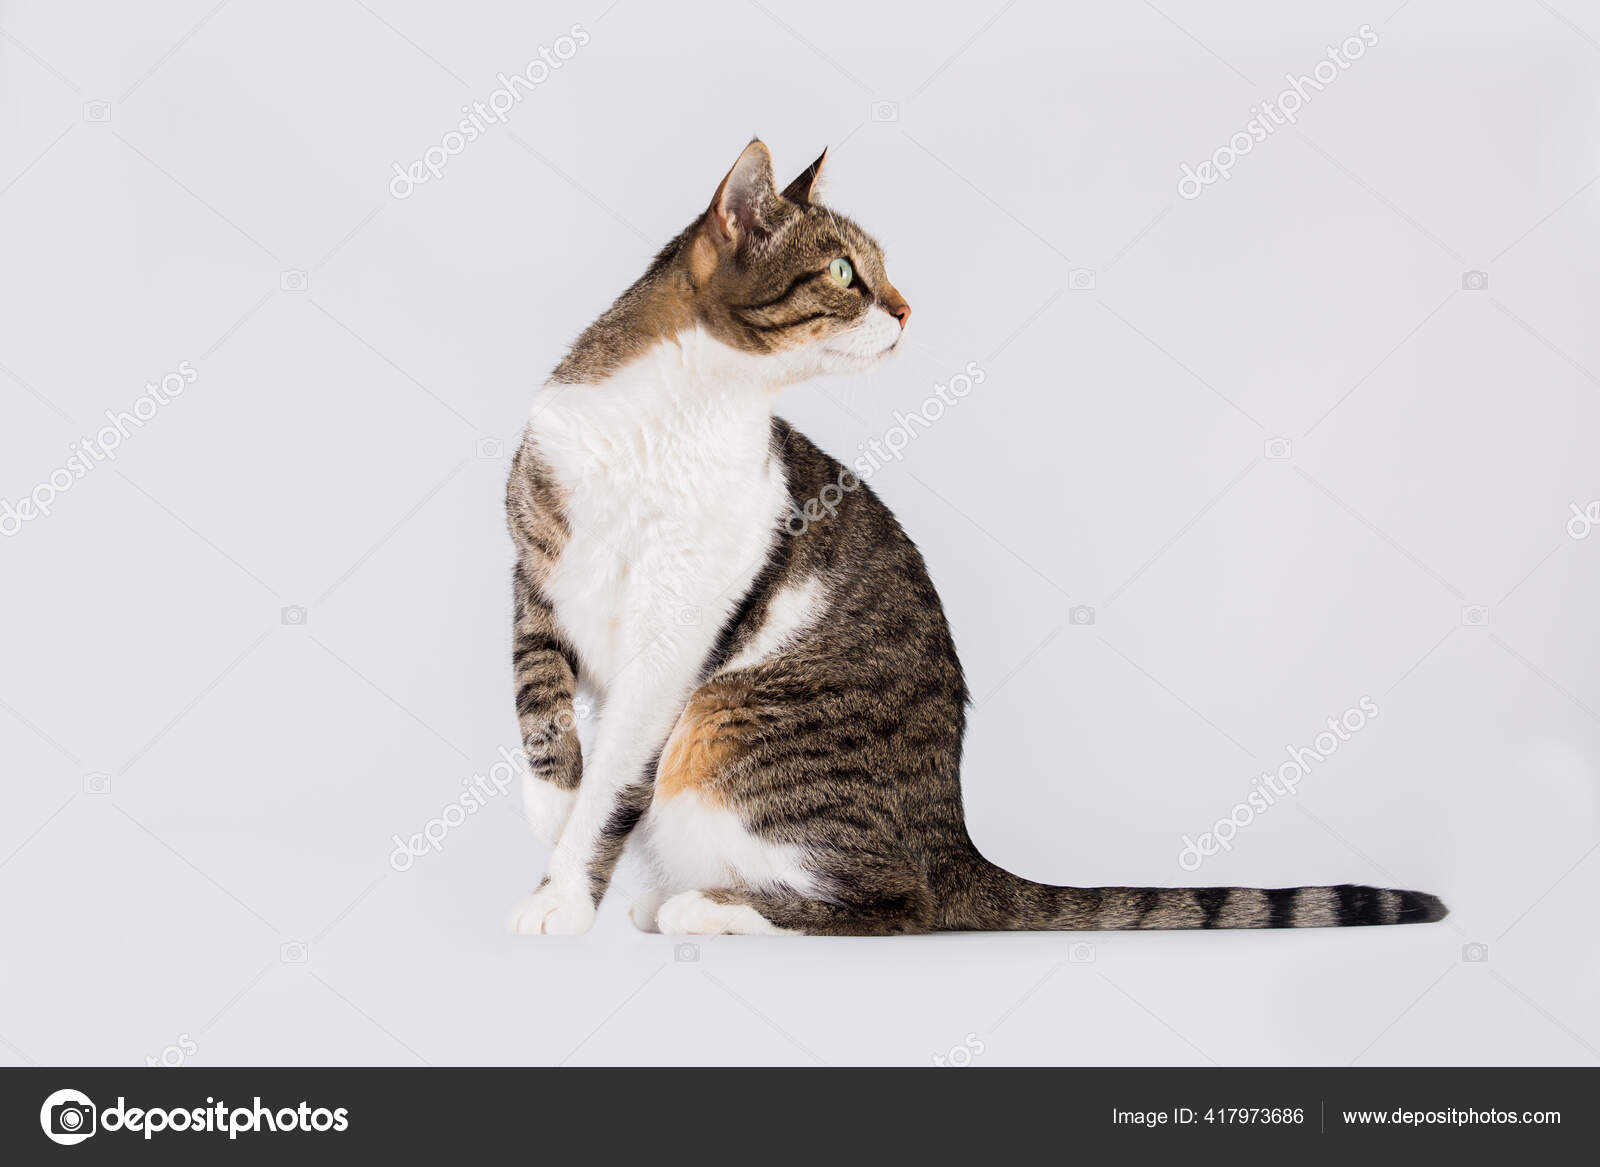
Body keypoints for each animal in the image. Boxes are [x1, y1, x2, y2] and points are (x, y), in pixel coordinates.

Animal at [502, 138, 1452, 934]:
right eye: (844, 270)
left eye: (883, 270)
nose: (906, 308)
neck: (675, 415)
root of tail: (954, 840)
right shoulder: (535, 566)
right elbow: (537, 683)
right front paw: (551, 801)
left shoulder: (675, 644)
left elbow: (615, 787)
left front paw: (561, 892)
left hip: (723, 729)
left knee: (897, 902)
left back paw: (701, 905)